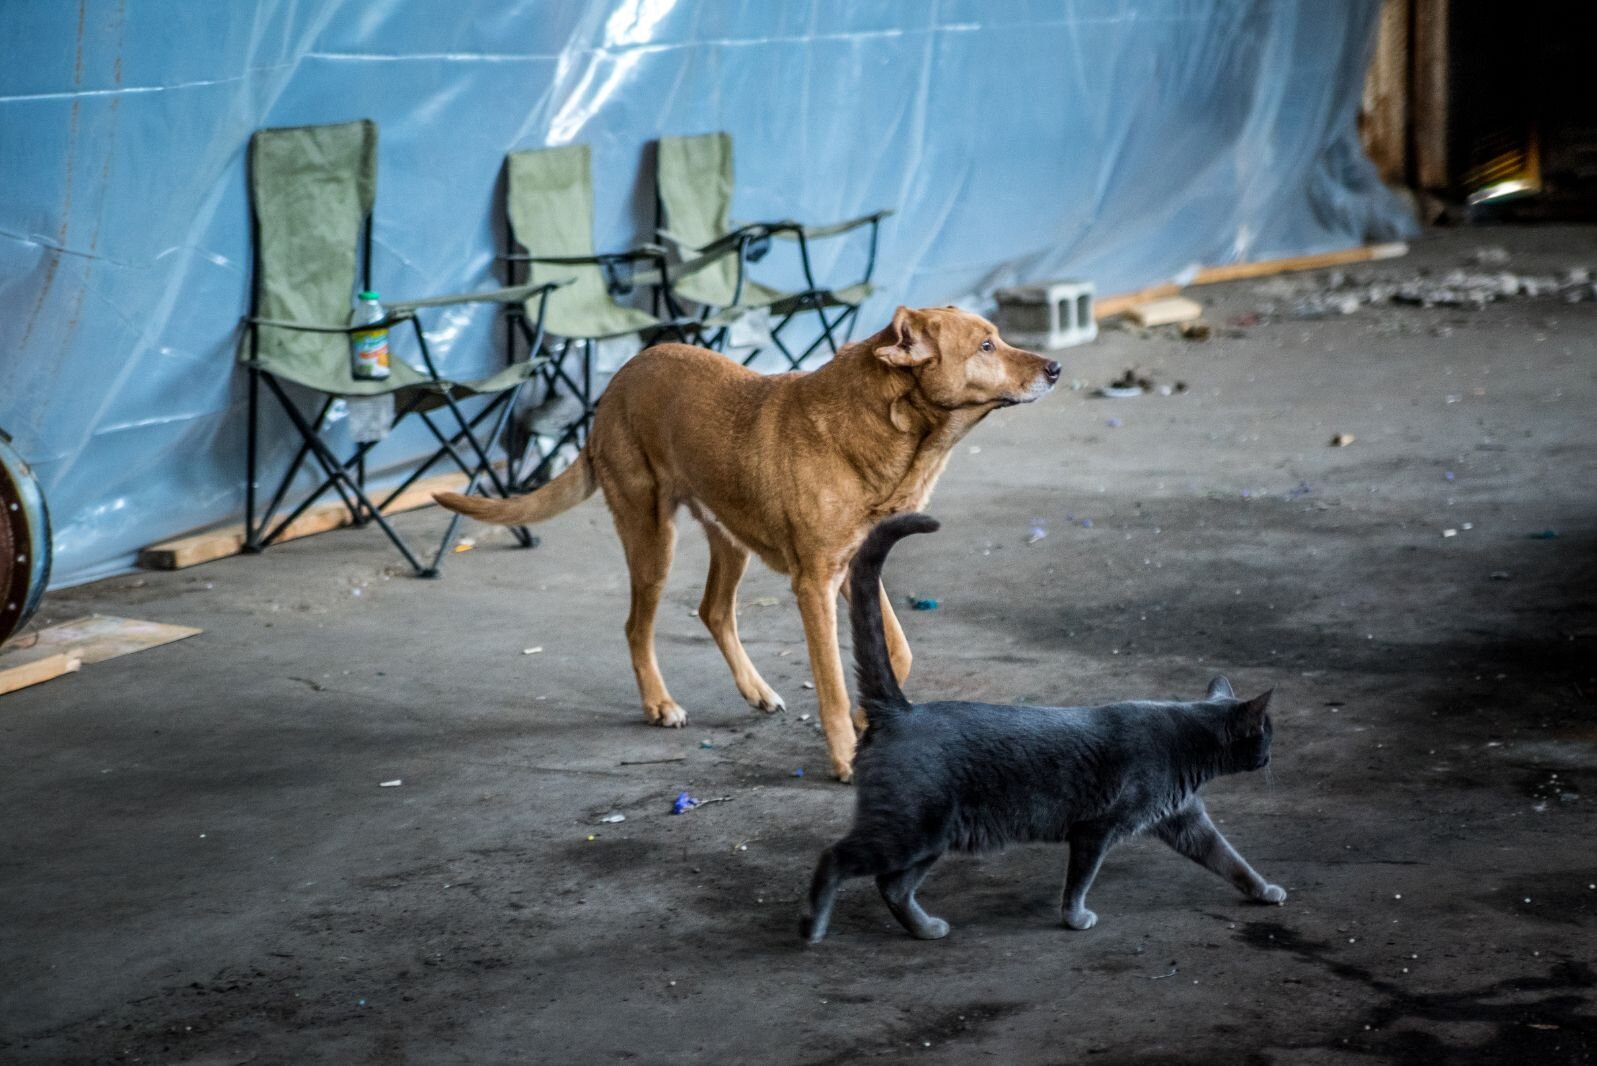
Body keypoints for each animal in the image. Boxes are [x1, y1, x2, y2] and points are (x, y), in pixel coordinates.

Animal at [437, 303, 1060, 778]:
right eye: (986, 346)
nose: (1055, 367)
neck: (887, 427)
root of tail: (613, 385)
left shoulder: (856, 566)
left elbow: (900, 649)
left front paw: (868, 717)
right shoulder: (814, 584)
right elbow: (831, 685)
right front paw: (845, 754)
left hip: (729, 538)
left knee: (714, 610)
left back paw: (755, 690)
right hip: (650, 537)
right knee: (638, 626)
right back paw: (660, 704)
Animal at [798, 517, 1283, 938]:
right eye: (1268, 732)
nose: (1270, 757)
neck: (1187, 742)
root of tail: (901, 710)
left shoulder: (1186, 821)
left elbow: (1230, 860)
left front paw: (1264, 890)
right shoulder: (1096, 829)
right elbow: (1079, 880)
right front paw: (1076, 917)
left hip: (933, 836)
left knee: (892, 886)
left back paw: (926, 929)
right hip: (908, 828)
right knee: (836, 858)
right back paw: (813, 927)